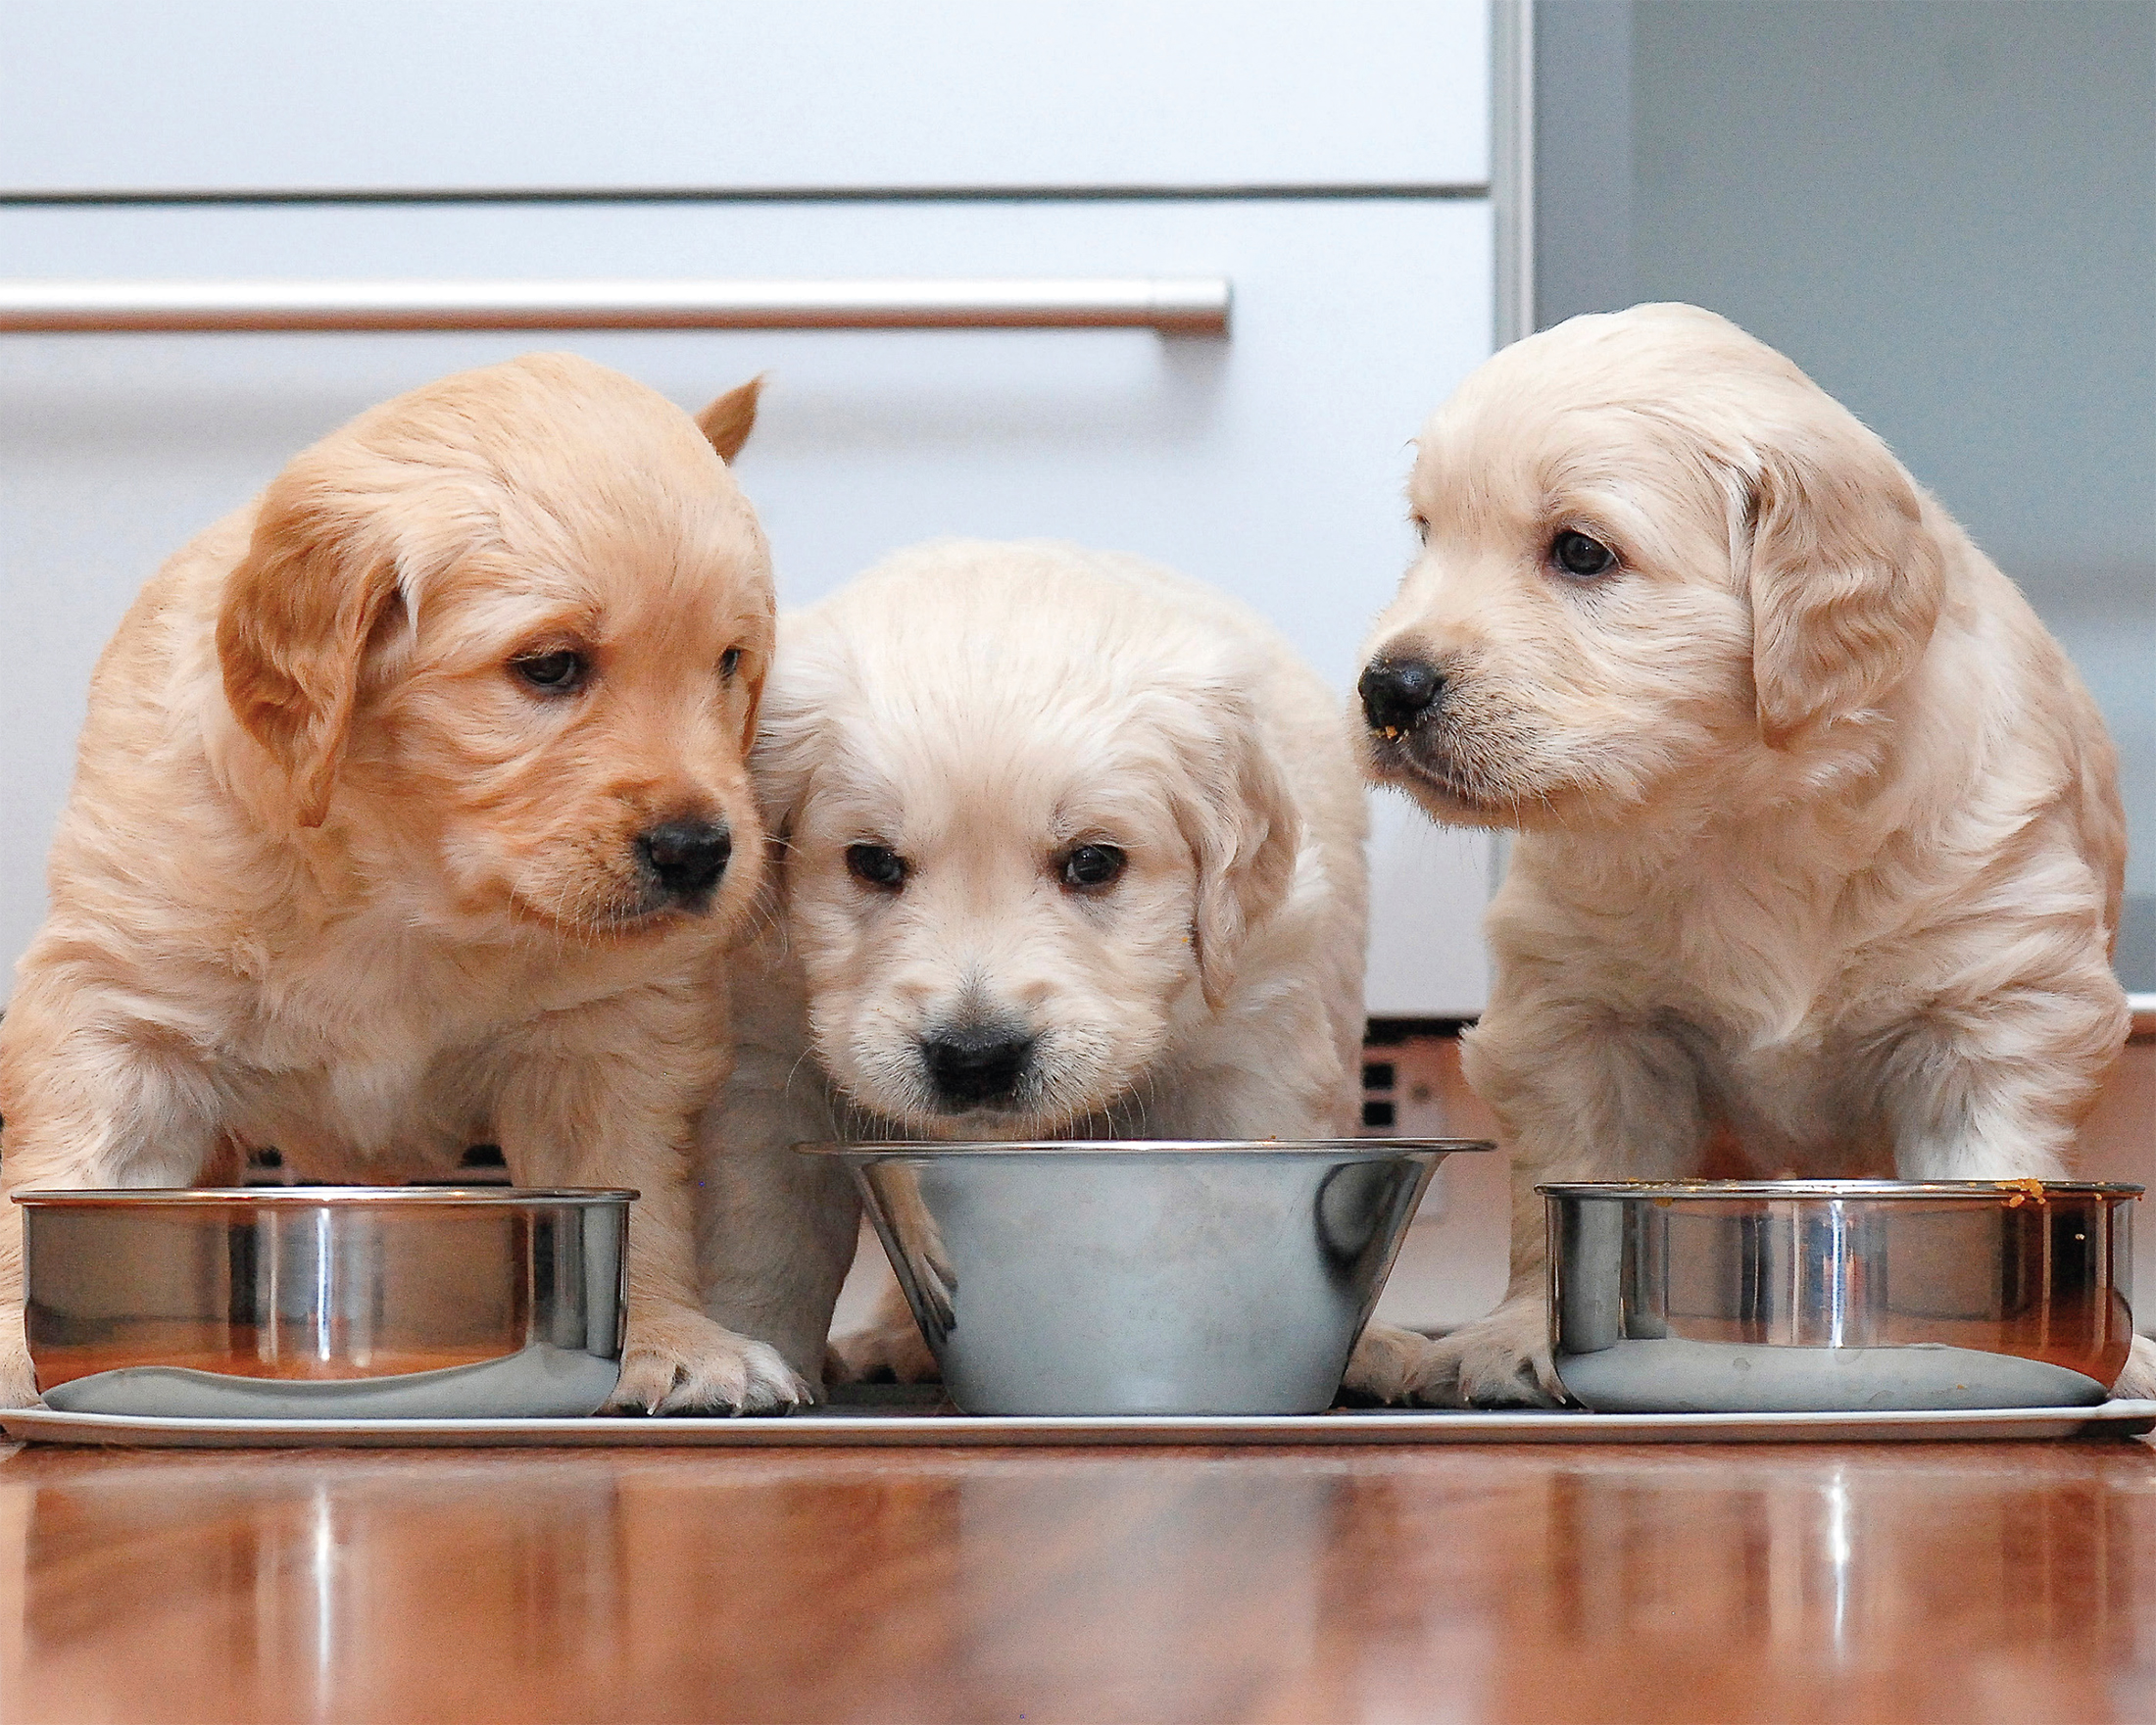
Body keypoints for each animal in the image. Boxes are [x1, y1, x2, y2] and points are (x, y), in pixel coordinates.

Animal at [0, 353, 810, 1414]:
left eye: (729, 662)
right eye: (550, 666)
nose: (699, 850)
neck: (406, 884)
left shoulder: (610, 1030)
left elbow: (635, 1188)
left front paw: (671, 1337)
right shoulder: (123, 1010)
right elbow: (71, 1160)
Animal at [698, 539, 1396, 1388]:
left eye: (1093, 863)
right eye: (873, 862)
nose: (974, 1056)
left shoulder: (1251, 1040)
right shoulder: (764, 1059)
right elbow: (765, 1240)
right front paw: (742, 1357)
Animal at [1353, 304, 2130, 1405]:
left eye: (1580, 552)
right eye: (1426, 534)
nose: (1387, 687)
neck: (1741, 813)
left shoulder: (1997, 1006)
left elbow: (1991, 1154)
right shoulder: (1578, 1018)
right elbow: (1559, 1184)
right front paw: (1518, 1335)